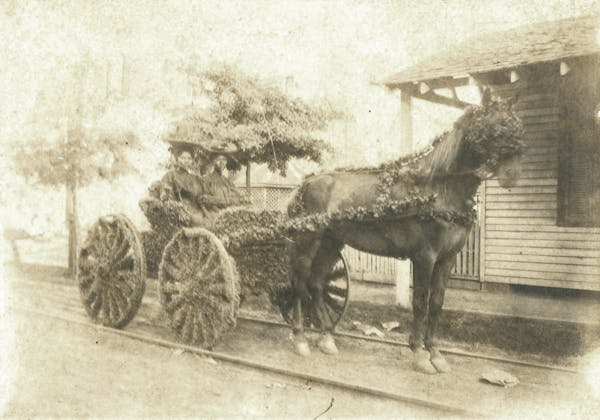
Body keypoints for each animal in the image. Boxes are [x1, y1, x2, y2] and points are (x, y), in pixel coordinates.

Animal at [288, 89, 524, 374]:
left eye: (518, 128)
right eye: (494, 129)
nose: (513, 176)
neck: (438, 188)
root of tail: (307, 182)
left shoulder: (447, 258)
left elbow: (437, 304)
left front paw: (436, 353)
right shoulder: (424, 257)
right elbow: (420, 303)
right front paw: (419, 354)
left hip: (332, 242)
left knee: (316, 283)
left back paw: (326, 338)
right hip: (307, 240)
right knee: (300, 283)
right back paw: (300, 338)